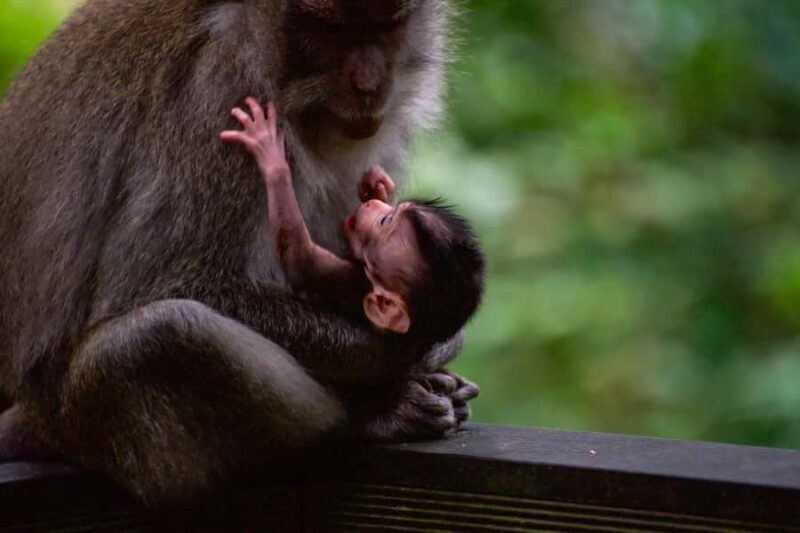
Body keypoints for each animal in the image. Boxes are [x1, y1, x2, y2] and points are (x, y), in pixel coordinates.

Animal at [222, 97, 485, 344]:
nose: (371, 207)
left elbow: (299, 256)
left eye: (385, 221)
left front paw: (272, 156)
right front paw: (377, 186)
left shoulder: (353, 279)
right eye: (391, 211)